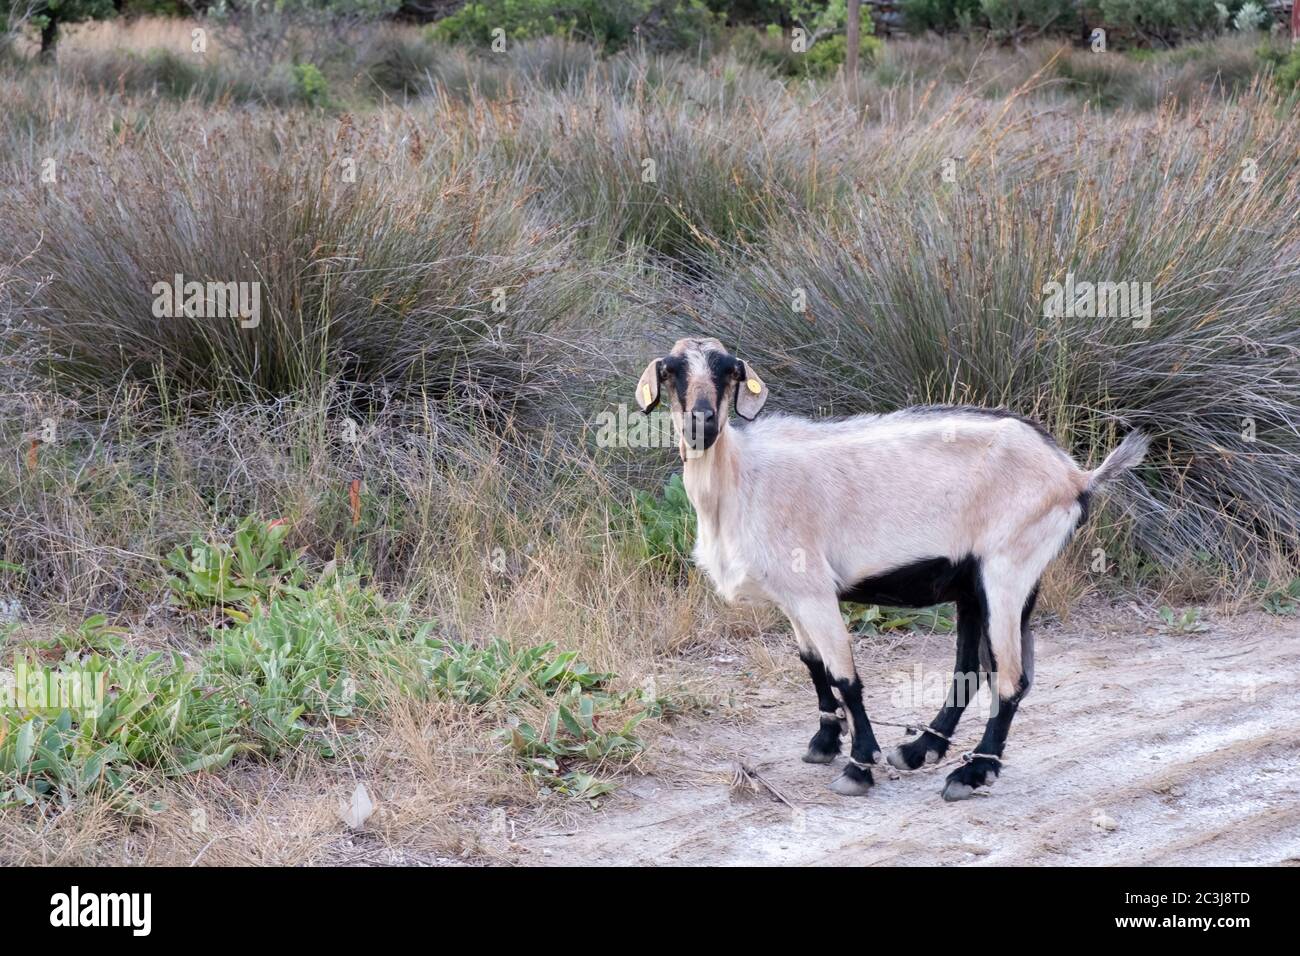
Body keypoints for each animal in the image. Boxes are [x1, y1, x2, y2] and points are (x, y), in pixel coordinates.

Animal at [637, 335, 1149, 801]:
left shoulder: (813, 589)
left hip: (1007, 571)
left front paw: (859, 766)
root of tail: (1075, 477)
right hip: (975, 584)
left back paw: (972, 772)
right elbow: (812, 664)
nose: (702, 423)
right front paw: (825, 741)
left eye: (728, 371)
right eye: (672, 371)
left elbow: (845, 676)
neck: (741, 479)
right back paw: (921, 749)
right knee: (971, 669)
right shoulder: (791, 597)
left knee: (1010, 678)